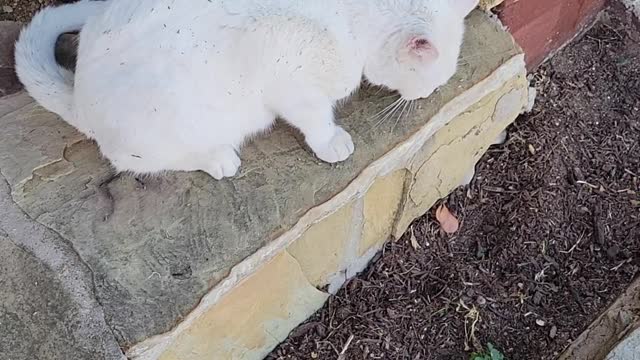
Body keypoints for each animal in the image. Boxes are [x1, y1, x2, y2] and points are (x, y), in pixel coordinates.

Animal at [15, 0, 478, 180]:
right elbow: (316, 118)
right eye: (431, 81)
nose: (426, 96)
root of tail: (76, 98)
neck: (354, 15)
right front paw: (331, 142)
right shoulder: (288, 79)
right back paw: (219, 159)